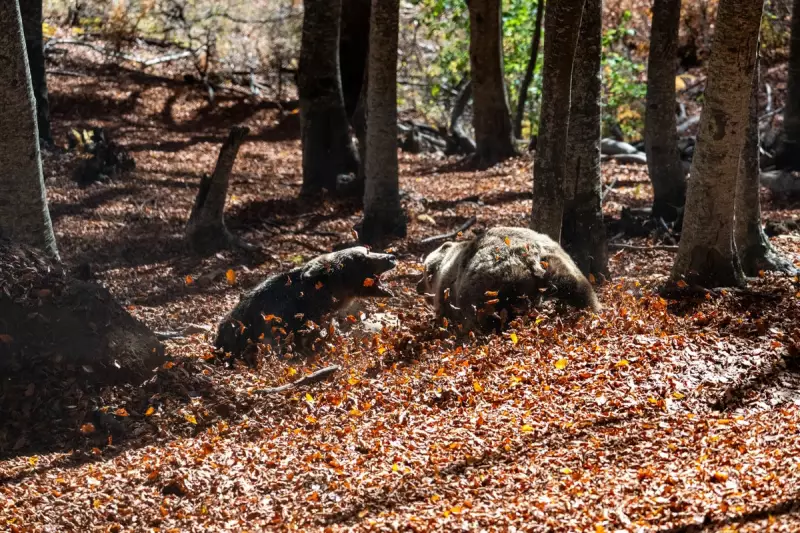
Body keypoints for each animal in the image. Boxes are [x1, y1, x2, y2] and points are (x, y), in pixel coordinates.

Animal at [417, 226, 600, 332]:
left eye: (423, 273)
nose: (418, 287)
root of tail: (531, 256)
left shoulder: (448, 290)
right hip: (562, 264)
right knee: (581, 291)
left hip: (495, 285)